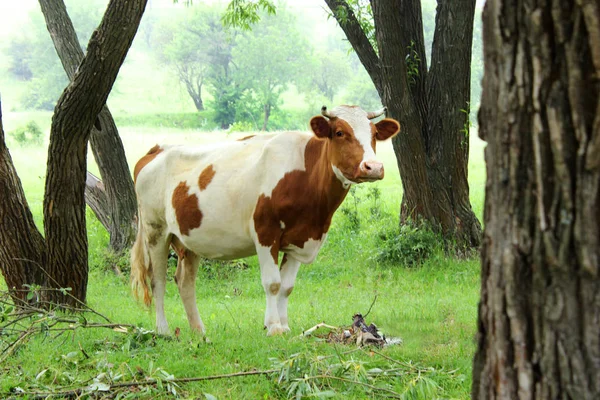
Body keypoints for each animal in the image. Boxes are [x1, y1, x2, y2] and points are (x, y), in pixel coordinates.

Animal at [129, 104, 400, 336]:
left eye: (374, 133)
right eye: (340, 132)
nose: (373, 167)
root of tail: (158, 149)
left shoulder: (300, 239)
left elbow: (287, 286)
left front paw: (285, 325)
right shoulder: (265, 233)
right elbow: (272, 283)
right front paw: (274, 327)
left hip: (189, 239)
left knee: (185, 282)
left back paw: (198, 330)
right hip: (156, 231)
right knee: (158, 280)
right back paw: (163, 330)